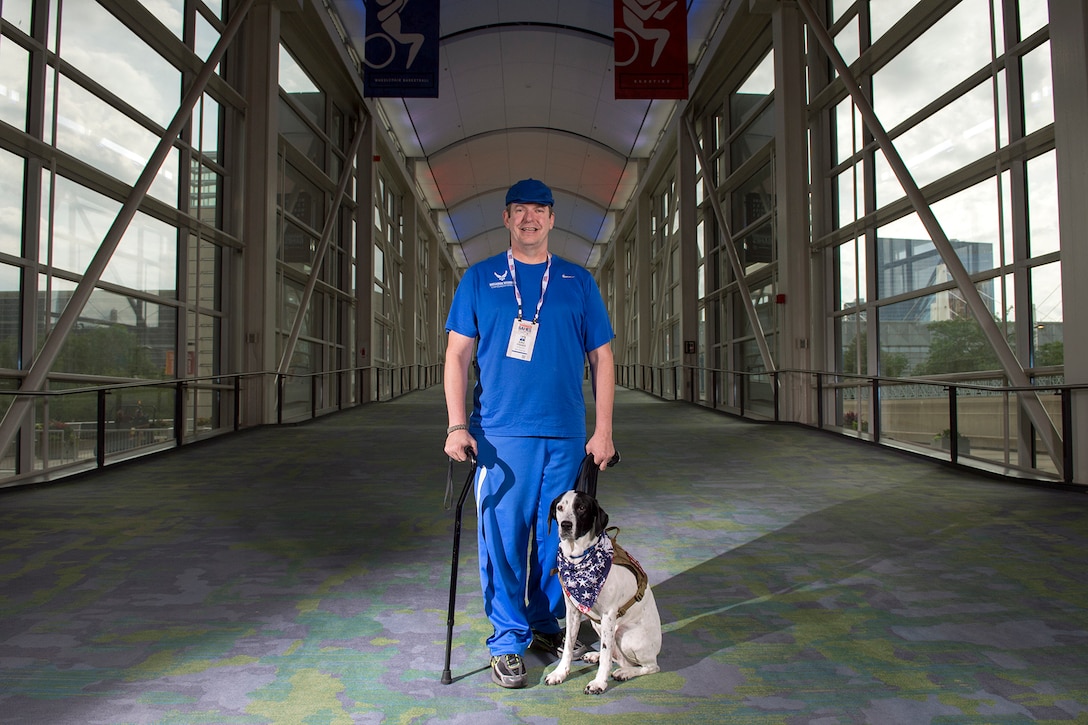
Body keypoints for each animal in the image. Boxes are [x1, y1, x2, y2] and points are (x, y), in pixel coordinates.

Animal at [544, 487, 661, 692]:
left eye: (581, 508)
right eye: (559, 507)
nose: (566, 525)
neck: (578, 559)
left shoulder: (608, 614)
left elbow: (606, 653)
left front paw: (599, 682)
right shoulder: (573, 610)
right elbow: (568, 646)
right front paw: (560, 673)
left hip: (624, 634)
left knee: (649, 666)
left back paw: (625, 672)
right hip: (597, 624)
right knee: (618, 657)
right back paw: (597, 657)